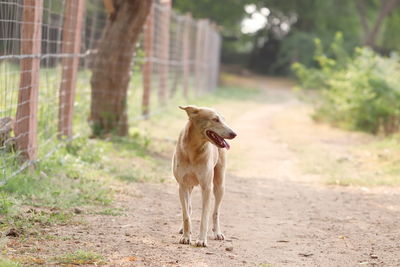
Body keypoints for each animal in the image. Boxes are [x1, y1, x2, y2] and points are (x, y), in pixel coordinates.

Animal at [173, 105, 238, 248]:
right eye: (215, 119)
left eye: (223, 119)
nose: (234, 134)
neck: (193, 149)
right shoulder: (182, 186)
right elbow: (186, 215)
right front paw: (186, 237)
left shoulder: (206, 187)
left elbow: (205, 216)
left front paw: (202, 240)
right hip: (189, 186)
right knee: (188, 208)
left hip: (219, 186)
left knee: (215, 212)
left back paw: (217, 233)